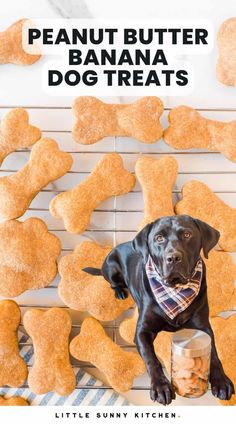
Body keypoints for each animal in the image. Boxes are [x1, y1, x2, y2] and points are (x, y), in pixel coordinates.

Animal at [84, 217, 234, 406]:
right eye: (159, 238)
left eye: (187, 234)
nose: (173, 257)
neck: (175, 291)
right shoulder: (142, 331)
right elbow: (151, 359)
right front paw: (161, 386)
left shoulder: (203, 327)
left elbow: (213, 353)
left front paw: (221, 381)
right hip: (111, 268)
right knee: (113, 283)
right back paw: (120, 291)